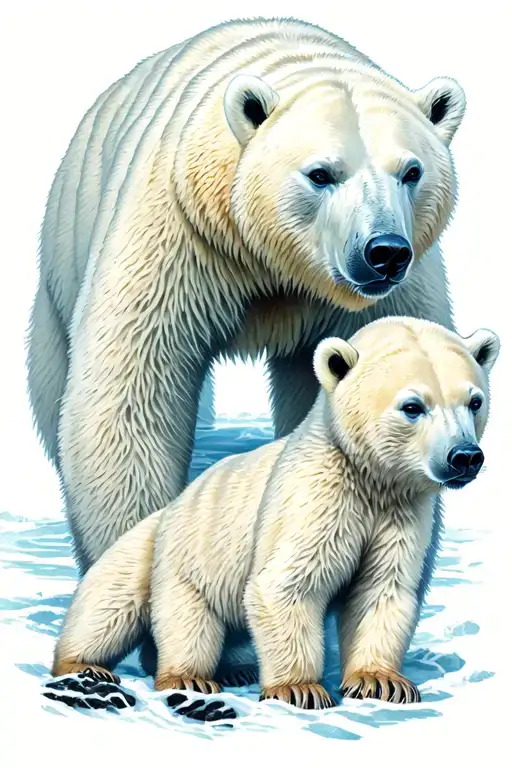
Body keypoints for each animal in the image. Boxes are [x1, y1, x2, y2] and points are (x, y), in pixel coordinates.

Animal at [26, 17, 467, 585]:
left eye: (411, 172)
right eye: (321, 173)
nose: (385, 252)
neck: (272, 259)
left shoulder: (390, 291)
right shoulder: (183, 233)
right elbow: (134, 382)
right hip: (64, 252)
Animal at [47, 317, 500, 713]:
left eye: (474, 401)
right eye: (412, 406)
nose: (464, 457)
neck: (369, 479)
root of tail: (173, 504)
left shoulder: (400, 513)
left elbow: (382, 589)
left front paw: (381, 681)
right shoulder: (312, 500)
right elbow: (285, 586)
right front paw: (299, 689)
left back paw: (237, 668)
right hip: (176, 555)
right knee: (132, 608)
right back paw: (140, 672)